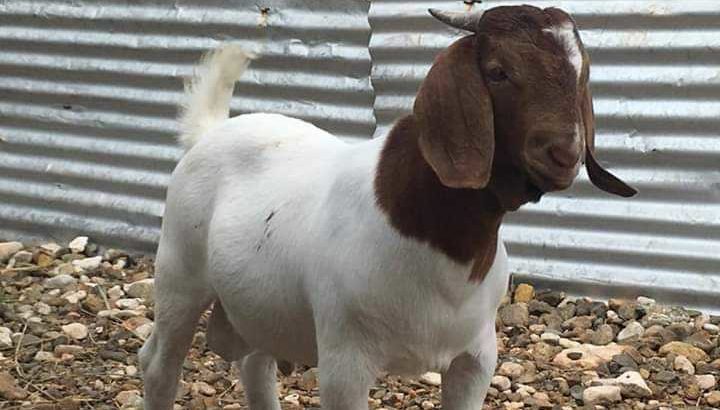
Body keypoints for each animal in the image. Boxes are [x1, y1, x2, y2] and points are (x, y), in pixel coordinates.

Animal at [139, 5, 636, 410]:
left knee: (255, 364)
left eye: (581, 74)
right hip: (180, 274)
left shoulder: (476, 357)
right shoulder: (344, 361)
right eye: (498, 71)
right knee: (158, 364)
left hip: (257, 304)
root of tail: (210, 132)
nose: (564, 154)